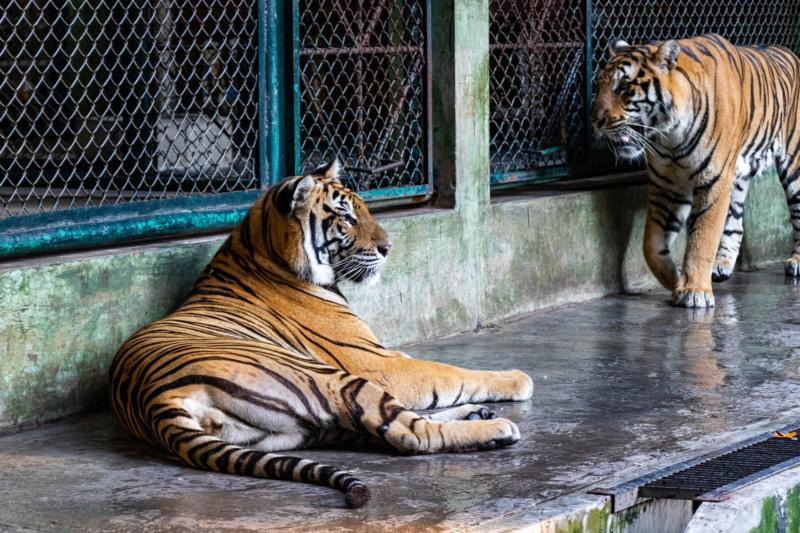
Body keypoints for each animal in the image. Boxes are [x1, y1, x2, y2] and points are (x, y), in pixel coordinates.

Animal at [108, 160, 533, 508]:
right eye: (346, 218)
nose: (388, 247)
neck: (263, 250)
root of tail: (155, 399)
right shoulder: (377, 364)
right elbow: (451, 372)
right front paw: (517, 378)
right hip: (333, 381)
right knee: (410, 434)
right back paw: (495, 428)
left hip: (292, 432)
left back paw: (476, 416)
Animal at [591, 34, 800, 308]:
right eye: (598, 87)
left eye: (624, 87)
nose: (595, 121)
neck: (669, 137)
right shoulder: (667, 186)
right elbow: (651, 245)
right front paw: (674, 279)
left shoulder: (714, 180)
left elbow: (703, 237)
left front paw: (694, 290)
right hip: (738, 178)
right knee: (735, 222)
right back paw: (722, 265)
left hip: (793, 164)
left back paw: (795, 262)